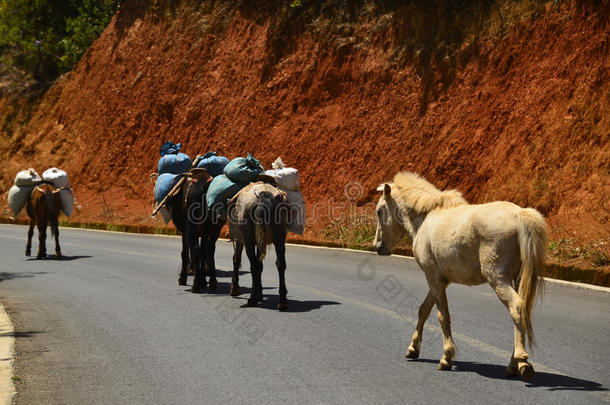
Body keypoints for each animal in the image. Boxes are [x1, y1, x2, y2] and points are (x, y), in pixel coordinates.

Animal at [372, 172, 544, 380]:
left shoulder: (433, 278)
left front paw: (446, 357)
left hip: (499, 279)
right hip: (517, 279)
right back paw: (514, 364)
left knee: (516, 307)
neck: (426, 218)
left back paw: (521, 362)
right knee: (522, 311)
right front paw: (413, 349)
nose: (377, 246)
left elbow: (442, 316)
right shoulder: (439, 281)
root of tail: (520, 214)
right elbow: (424, 310)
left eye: (379, 211)